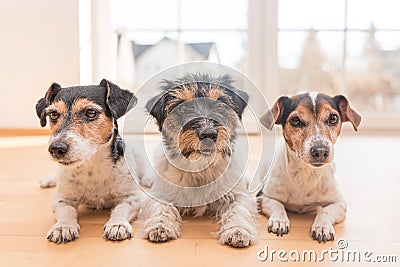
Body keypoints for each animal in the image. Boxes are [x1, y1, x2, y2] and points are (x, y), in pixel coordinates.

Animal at [34, 80, 144, 245]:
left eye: (91, 112)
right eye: (53, 114)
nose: (56, 148)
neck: (92, 165)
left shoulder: (132, 197)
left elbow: (121, 208)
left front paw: (117, 224)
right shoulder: (62, 199)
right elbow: (68, 210)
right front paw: (63, 226)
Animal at [141, 74, 260, 249]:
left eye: (220, 105)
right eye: (182, 108)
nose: (208, 133)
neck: (200, 167)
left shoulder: (239, 196)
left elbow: (239, 210)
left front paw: (238, 231)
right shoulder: (159, 194)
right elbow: (162, 208)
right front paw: (160, 226)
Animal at [256, 92, 362, 243]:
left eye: (333, 118)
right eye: (295, 120)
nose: (321, 151)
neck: (305, 173)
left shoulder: (339, 203)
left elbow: (325, 211)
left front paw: (322, 226)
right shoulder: (263, 197)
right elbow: (277, 204)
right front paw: (279, 220)